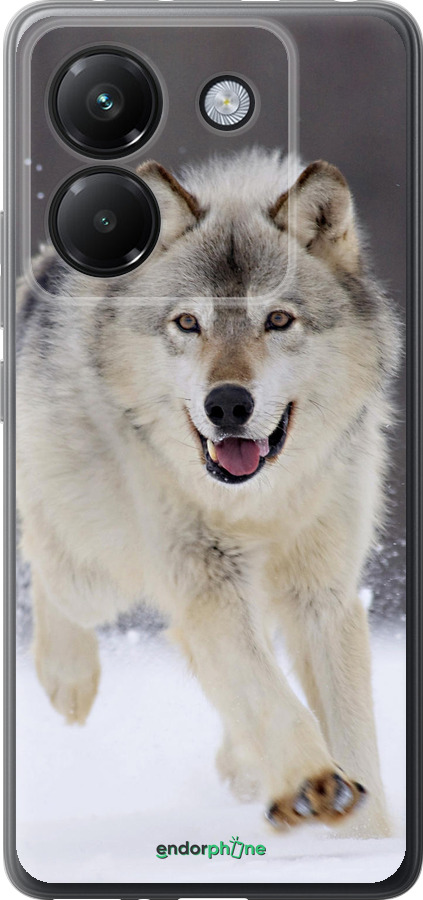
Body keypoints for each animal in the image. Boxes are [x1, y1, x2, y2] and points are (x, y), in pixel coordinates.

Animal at [17, 148, 399, 838]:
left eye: (278, 320)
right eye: (188, 323)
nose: (226, 404)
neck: (258, 503)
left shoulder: (322, 594)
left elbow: (352, 731)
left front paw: (366, 838)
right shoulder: (206, 582)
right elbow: (269, 695)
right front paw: (313, 783)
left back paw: (243, 766)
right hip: (98, 572)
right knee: (45, 561)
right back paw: (69, 680)